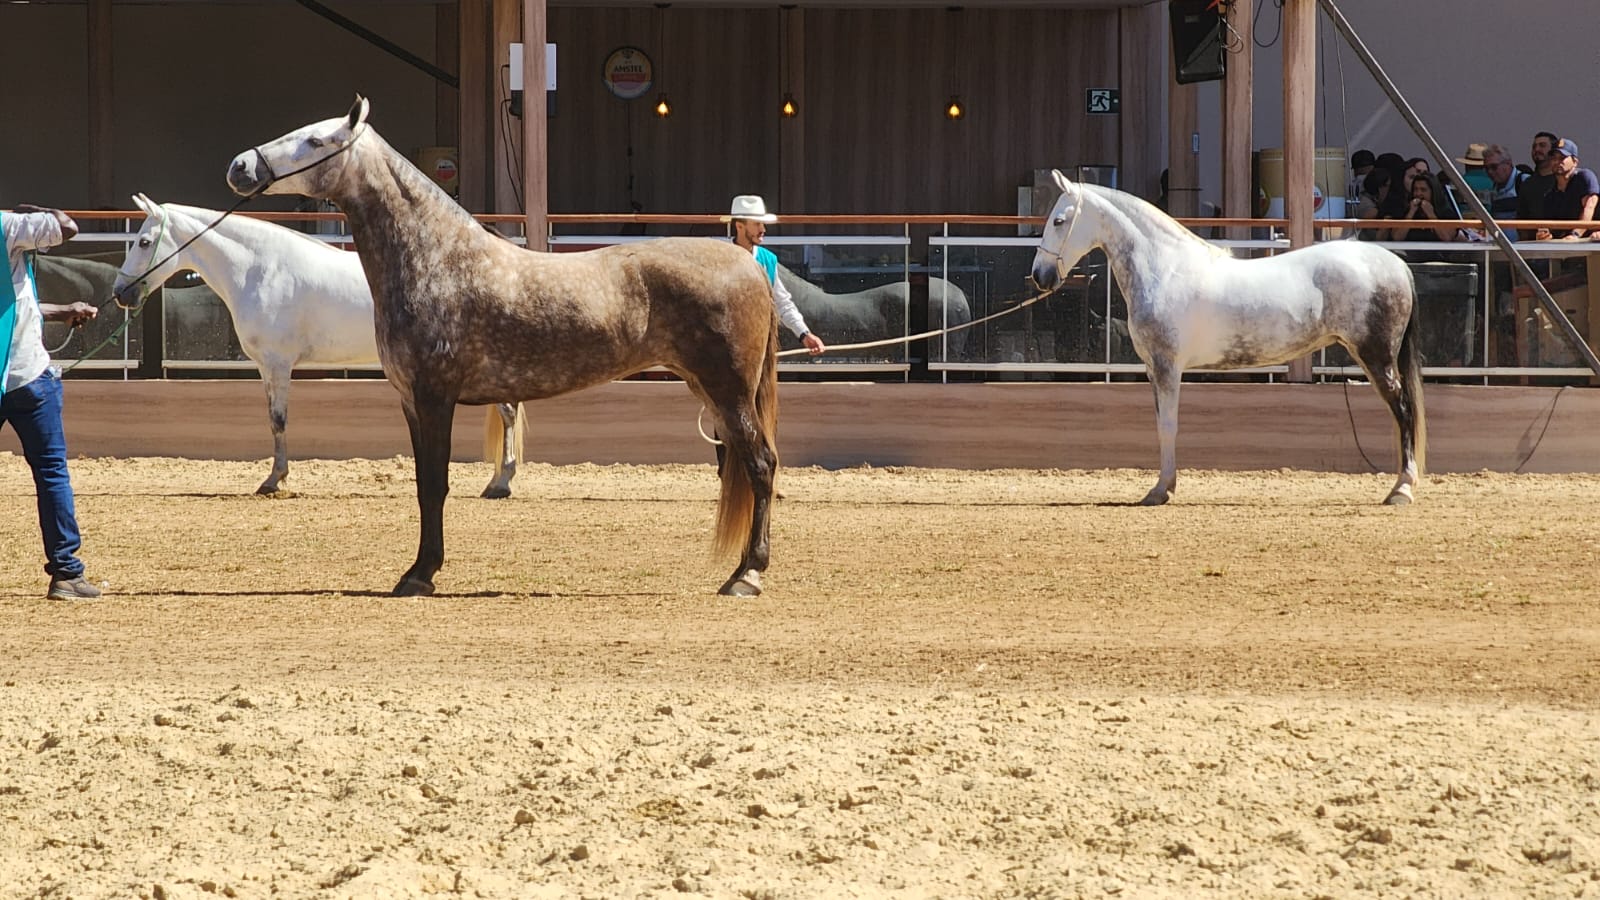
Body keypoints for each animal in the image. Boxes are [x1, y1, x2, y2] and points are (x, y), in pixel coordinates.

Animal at [230, 96, 780, 595]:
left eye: (317, 141)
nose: (241, 166)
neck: (439, 260)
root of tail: (747, 265)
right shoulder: (411, 402)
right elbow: (423, 484)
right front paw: (419, 569)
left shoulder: (436, 398)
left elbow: (435, 485)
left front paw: (420, 575)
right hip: (709, 390)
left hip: (729, 391)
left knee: (760, 465)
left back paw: (746, 576)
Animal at [1030, 168, 1433, 506]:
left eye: (1059, 220)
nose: (1040, 275)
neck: (1166, 269)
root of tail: (1395, 264)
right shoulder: (1153, 371)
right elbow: (1161, 425)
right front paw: (1164, 486)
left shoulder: (1167, 368)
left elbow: (1168, 426)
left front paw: (1160, 491)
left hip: (1377, 357)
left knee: (1404, 411)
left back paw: (1402, 490)